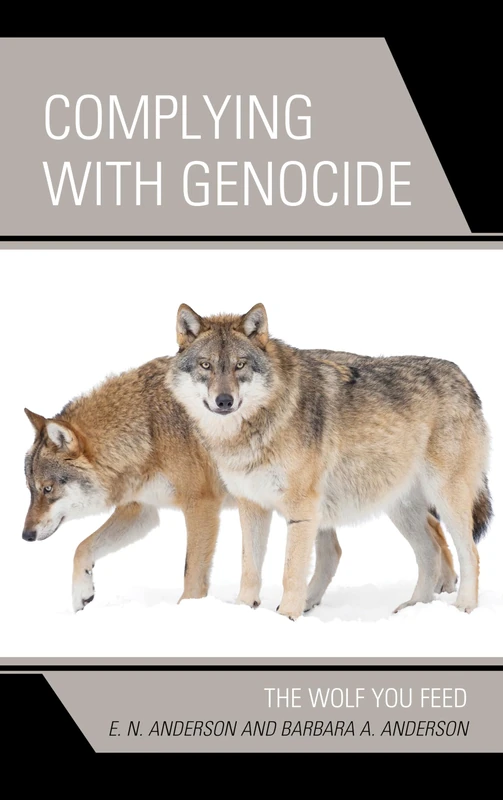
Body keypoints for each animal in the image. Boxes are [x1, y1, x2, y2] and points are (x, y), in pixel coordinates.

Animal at [167, 302, 492, 620]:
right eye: (206, 365)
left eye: (240, 364)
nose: (224, 401)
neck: (255, 429)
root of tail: (463, 378)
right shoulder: (252, 505)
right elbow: (250, 568)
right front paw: (244, 610)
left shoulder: (301, 508)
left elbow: (291, 572)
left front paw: (287, 617)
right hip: (400, 508)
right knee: (429, 552)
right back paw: (413, 608)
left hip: (446, 499)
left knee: (470, 553)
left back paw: (464, 607)